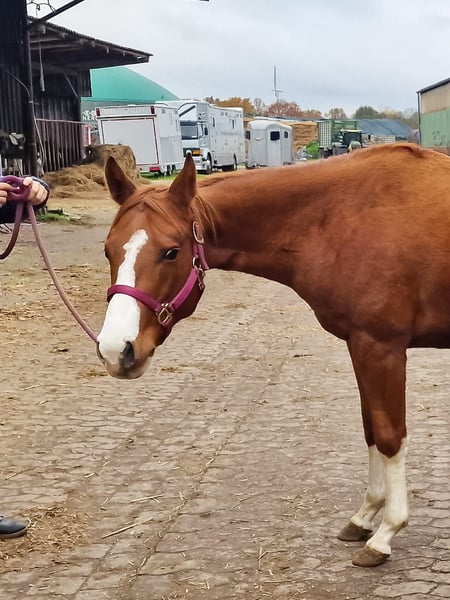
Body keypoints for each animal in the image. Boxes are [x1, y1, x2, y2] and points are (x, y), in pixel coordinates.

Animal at [97, 143, 450, 567]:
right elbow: (370, 430)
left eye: (170, 252)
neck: (346, 215)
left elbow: (389, 437)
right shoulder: (361, 345)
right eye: (108, 251)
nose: (116, 349)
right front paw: (365, 516)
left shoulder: (381, 347)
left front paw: (385, 533)